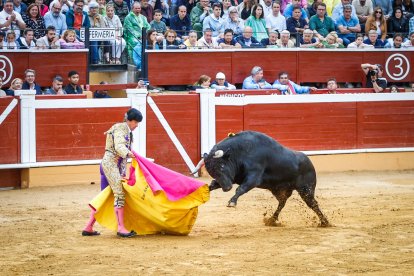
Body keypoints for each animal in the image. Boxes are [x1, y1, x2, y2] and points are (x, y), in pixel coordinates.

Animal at [193, 131, 330, 226]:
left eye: (221, 166)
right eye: (211, 172)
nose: (226, 188)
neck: (240, 152)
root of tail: (309, 161)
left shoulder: (253, 178)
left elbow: (240, 189)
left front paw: (232, 202)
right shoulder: (233, 177)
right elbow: (212, 185)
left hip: (306, 190)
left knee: (313, 204)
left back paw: (325, 222)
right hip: (279, 190)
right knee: (282, 203)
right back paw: (272, 220)